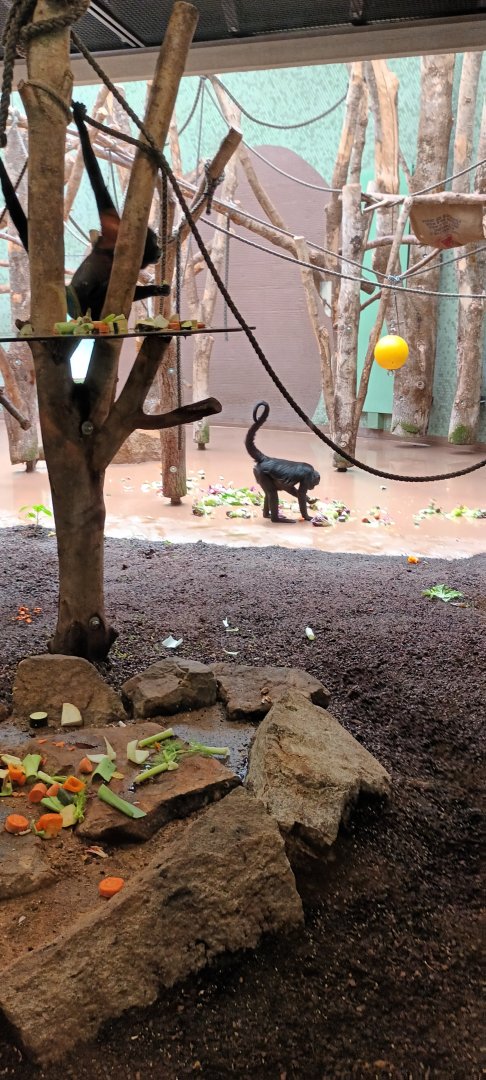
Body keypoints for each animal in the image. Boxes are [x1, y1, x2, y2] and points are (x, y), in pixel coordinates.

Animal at [0, 101, 170, 321]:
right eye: (155, 241)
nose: (159, 249)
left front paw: (159, 289)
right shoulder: (115, 233)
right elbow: (99, 189)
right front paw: (81, 123)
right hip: (84, 307)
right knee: (102, 290)